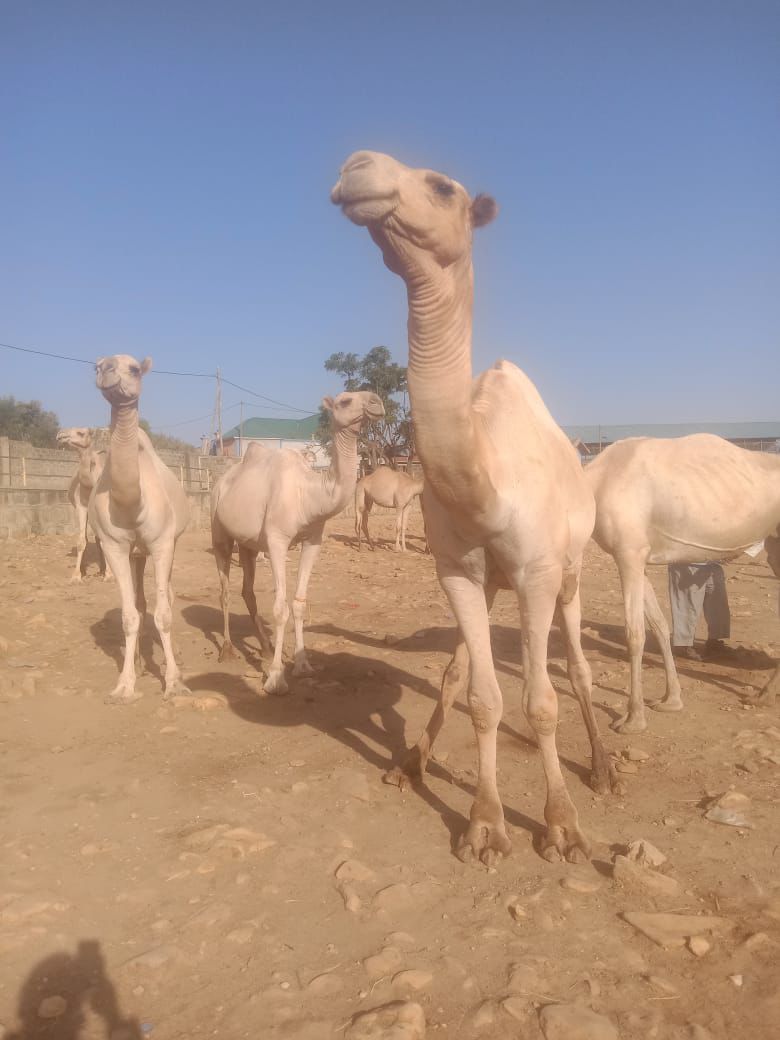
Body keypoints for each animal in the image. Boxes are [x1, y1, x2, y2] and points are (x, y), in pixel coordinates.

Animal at [56, 427, 108, 582]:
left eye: (81, 433)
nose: (60, 434)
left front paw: (109, 575)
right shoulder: (82, 506)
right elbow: (81, 541)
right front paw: (76, 576)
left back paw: (102, 570)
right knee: (86, 536)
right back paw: (87, 569)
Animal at [89, 355, 191, 703]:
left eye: (133, 368)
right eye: (96, 366)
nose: (107, 371)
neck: (132, 504)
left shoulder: (162, 543)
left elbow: (164, 613)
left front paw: (173, 682)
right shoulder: (114, 545)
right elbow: (129, 615)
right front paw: (124, 685)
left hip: (168, 545)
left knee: (168, 597)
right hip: (137, 553)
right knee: (140, 601)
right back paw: (135, 659)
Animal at [211, 390, 384, 694]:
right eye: (345, 400)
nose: (377, 402)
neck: (309, 492)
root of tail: (221, 483)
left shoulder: (313, 540)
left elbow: (299, 603)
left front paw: (303, 666)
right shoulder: (277, 541)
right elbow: (280, 608)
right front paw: (275, 678)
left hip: (248, 544)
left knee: (247, 590)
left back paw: (266, 648)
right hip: (219, 530)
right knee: (225, 590)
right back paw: (228, 650)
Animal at [332, 150, 617, 866]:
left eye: (441, 187)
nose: (356, 166)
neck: (487, 482)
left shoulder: (537, 573)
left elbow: (541, 701)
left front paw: (561, 827)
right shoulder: (458, 569)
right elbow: (481, 695)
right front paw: (485, 825)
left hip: (570, 571)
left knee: (578, 669)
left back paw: (604, 767)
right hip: (491, 583)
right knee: (461, 671)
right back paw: (411, 762)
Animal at [585, 435, 780, 732]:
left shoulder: (628, 552)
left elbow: (635, 634)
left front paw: (633, 719)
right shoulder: (637, 557)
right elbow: (659, 626)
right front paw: (671, 700)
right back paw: (762, 696)